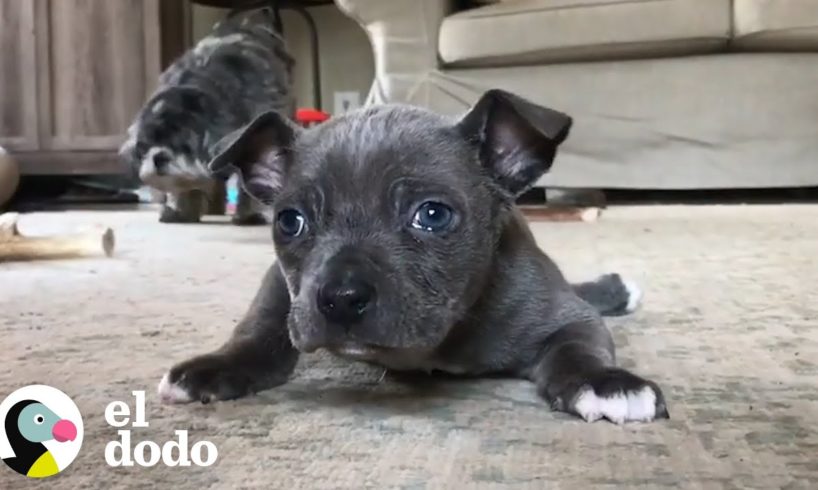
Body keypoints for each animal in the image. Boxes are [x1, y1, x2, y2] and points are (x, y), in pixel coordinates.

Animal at [156, 90, 668, 424]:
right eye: (290, 221)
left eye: (433, 215)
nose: (341, 297)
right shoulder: (282, 289)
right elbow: (259, 326)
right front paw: (217, 366)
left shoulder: (565, 316)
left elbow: (578, 347)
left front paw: (605, 381)